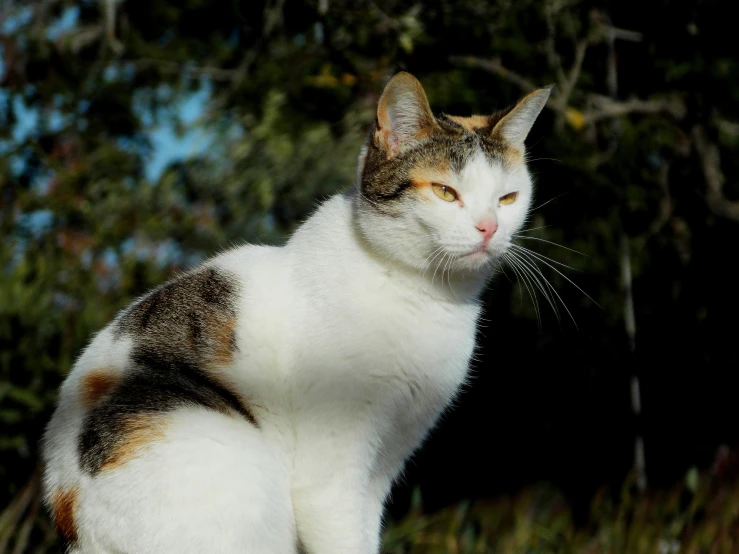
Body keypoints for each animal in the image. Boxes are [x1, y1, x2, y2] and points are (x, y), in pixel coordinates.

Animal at [40, 71, 548, 548]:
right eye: (445, 192)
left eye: (508, 199)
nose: (489, 228)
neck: (422, 293)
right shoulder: (330, 479)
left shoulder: (384, 463)